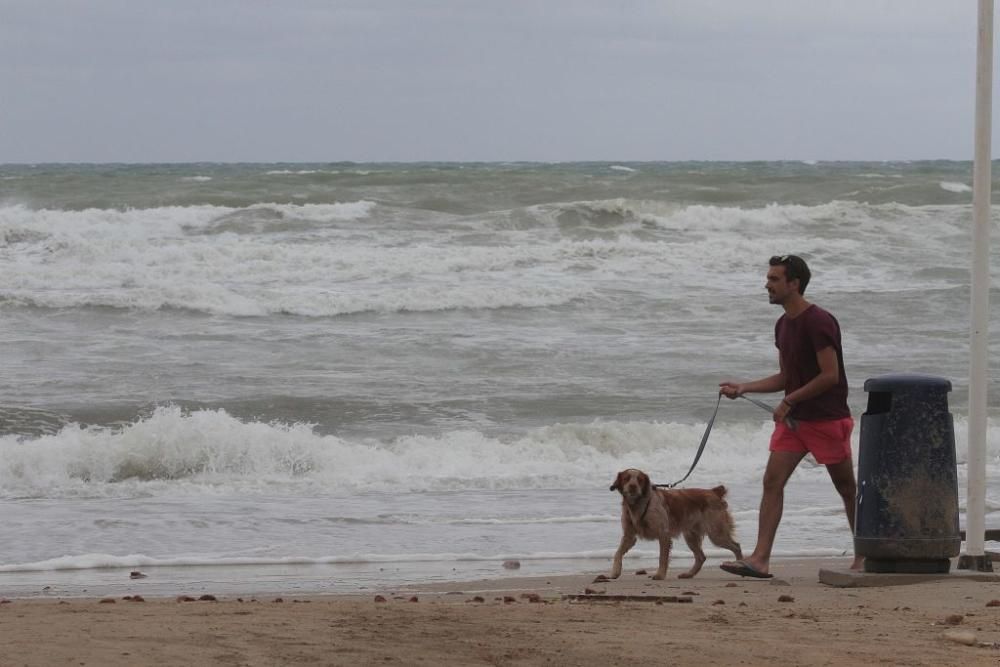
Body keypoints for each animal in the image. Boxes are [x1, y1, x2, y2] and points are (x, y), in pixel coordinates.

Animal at [608, 470, 744, 580]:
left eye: (640, 480)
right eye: (626, 478)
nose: (633, 486)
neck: (638, 504)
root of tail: (713, 492)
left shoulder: (663, 535)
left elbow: (662, 558)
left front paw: (660, 575)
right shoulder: (629, 536)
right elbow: (617, 553)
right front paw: (615, 571)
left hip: (716, 533)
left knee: (736, 547)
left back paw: (739, 566)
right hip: (691, 536)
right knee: (701, 557)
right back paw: (689, 574)